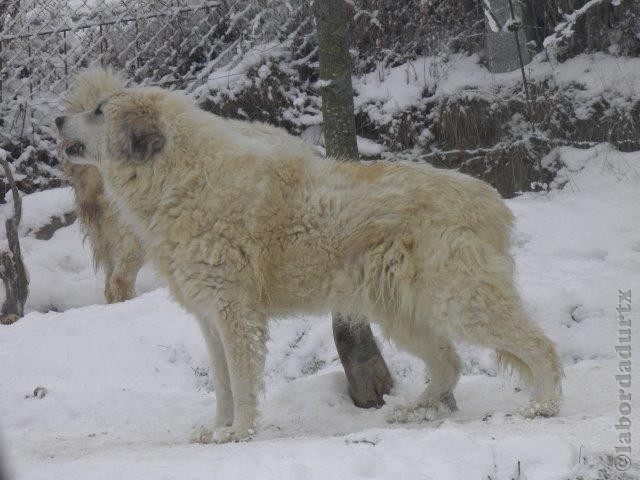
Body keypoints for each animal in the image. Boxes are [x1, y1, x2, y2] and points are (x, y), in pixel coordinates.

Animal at [57, 70, 564, 442]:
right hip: (401, 313)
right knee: (449, 364)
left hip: (461, 299)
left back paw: (543, 405)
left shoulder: (234, 313)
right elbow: (221, 385)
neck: (181, 179)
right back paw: (415, 410)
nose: (59, 121)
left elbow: (241, 382)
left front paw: (239, 433)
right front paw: (217, 429)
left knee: (540, 346)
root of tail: (488, 197)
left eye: (99, 111)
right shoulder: (209, 318)